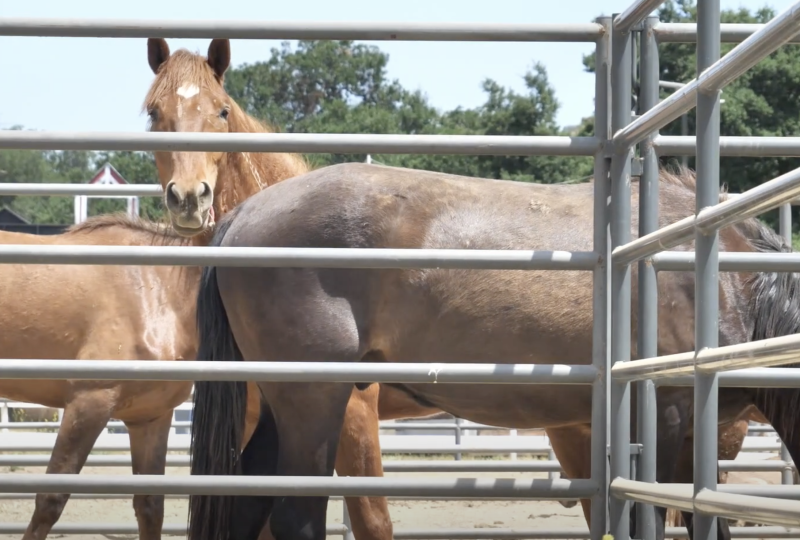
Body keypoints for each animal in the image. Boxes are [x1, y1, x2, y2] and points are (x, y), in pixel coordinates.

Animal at [185, 163, 800, 540]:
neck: (730, 284)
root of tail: (245, 214)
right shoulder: (666, 423)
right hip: (314, 400)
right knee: (297, 518)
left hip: (279, 403)